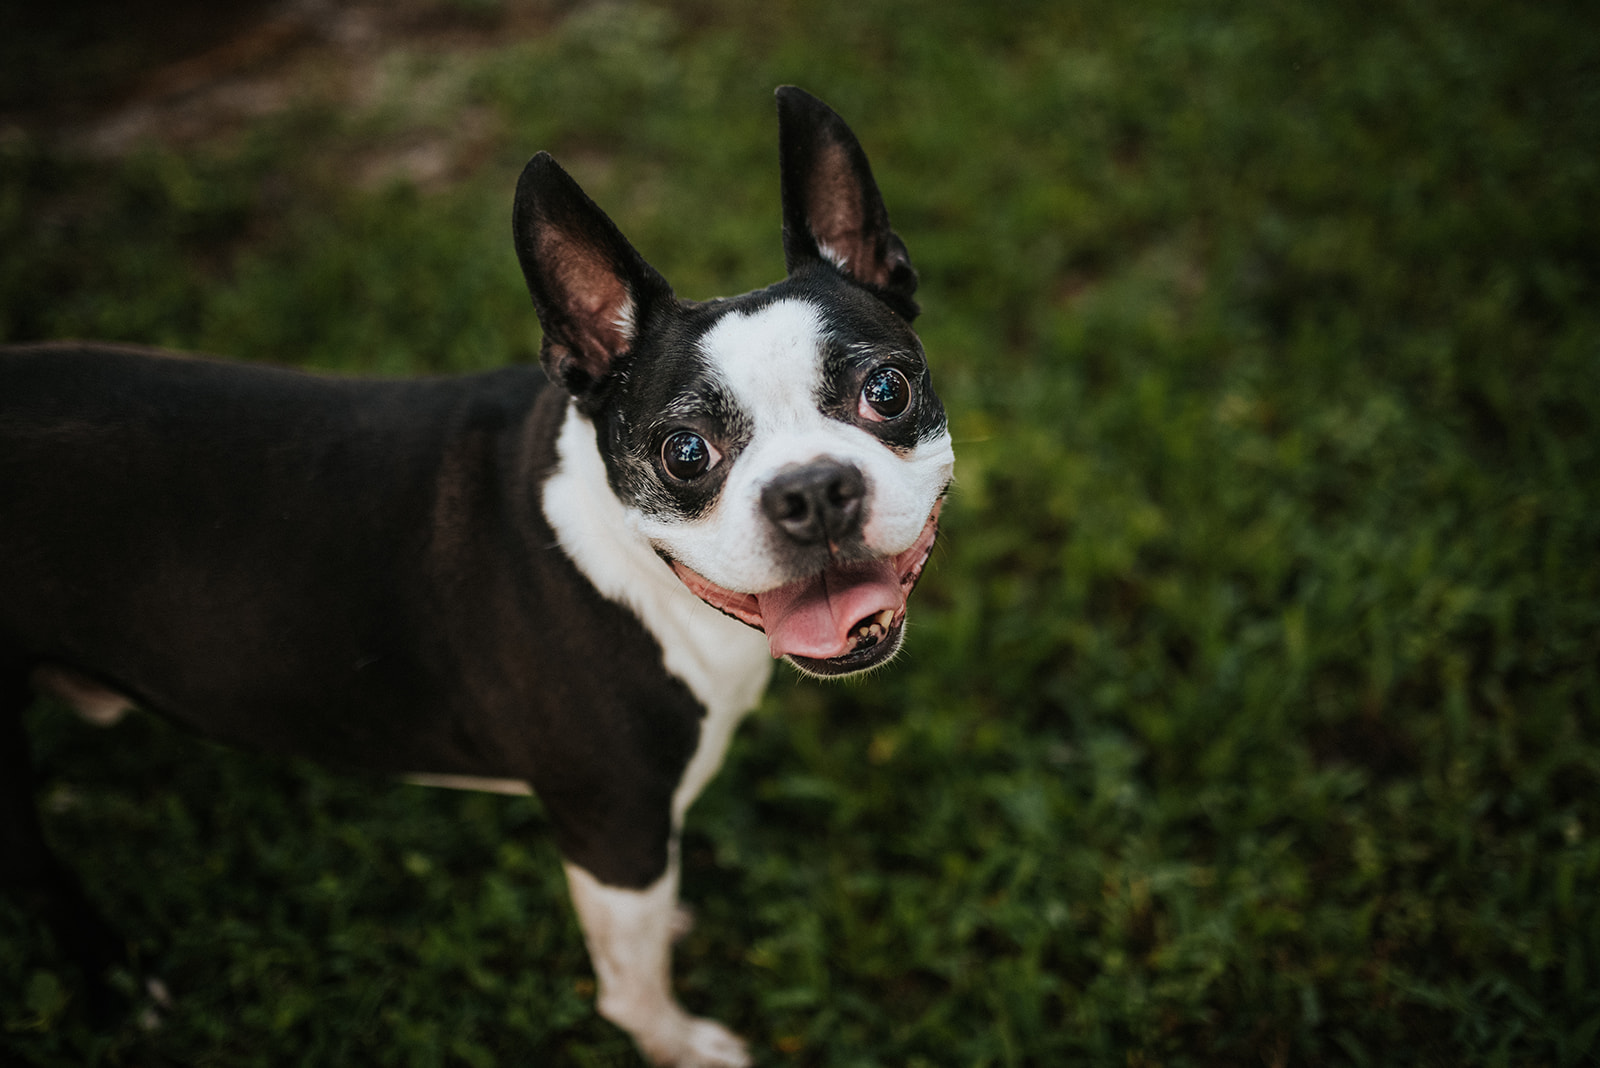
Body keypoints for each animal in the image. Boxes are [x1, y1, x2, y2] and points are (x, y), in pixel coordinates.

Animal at [0, 87, 947, 1061]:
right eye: (686, 452)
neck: (625, 558)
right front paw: (679, 1045)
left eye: (887, 391)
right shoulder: (614, 821)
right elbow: (630, 987)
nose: (813, 492)